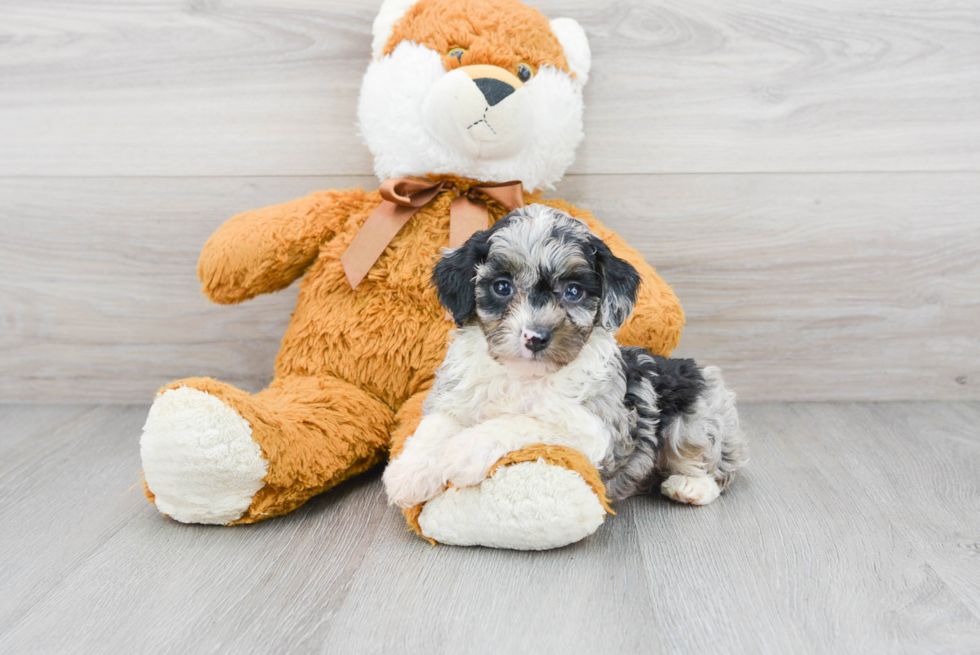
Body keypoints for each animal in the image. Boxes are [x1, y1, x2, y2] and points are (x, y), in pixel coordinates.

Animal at [378, 202, 748, 510]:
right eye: (502, 287)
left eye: (573, 292)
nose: (536, 337)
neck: (522, 375)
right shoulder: (456, 396)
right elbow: (435, 426)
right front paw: (409, 473)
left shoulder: (594, 429)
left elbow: (520, 421)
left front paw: (462, 453)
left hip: (698, 417)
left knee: (717, 466)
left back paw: (690, 485)